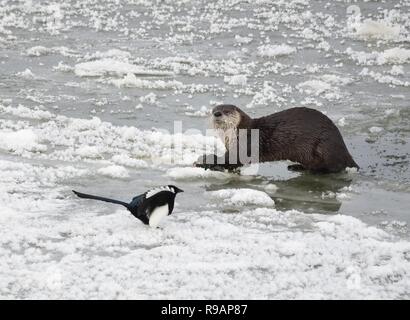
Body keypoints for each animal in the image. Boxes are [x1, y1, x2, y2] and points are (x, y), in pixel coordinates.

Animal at [195, 105, 358, 174]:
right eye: (213, 110)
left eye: (226, 111)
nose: (217, 113)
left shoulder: (245, 144)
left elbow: (233, 160)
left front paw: (206, 160)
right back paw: (296, 167)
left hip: (324, 145)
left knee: (334, 166)